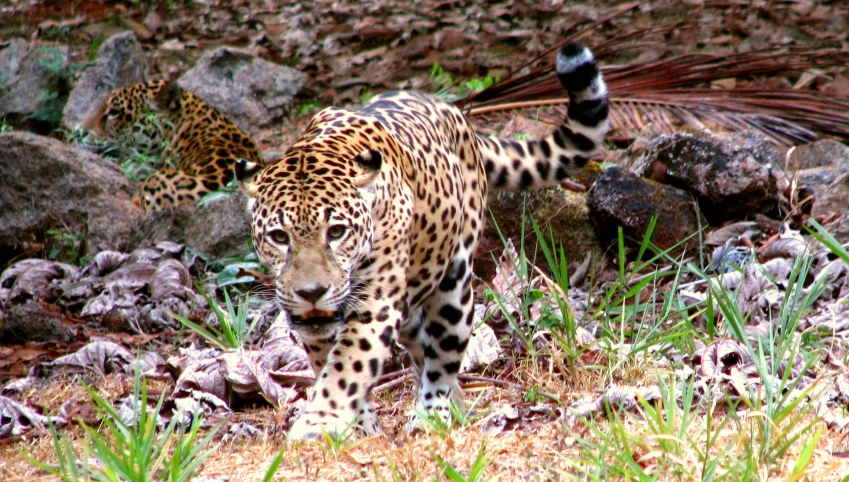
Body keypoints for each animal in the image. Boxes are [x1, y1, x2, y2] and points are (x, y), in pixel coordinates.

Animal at [232, 42, 604, 440]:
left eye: (336, 232)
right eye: (279, 237)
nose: (312, 292)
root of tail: (454, 113)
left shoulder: (376, 303)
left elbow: (347, 365)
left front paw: (320, 420)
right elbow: (328, 364)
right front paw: (358, 425)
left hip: (454, 286)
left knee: (442, 359)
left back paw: (433, 413)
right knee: (422, 352)